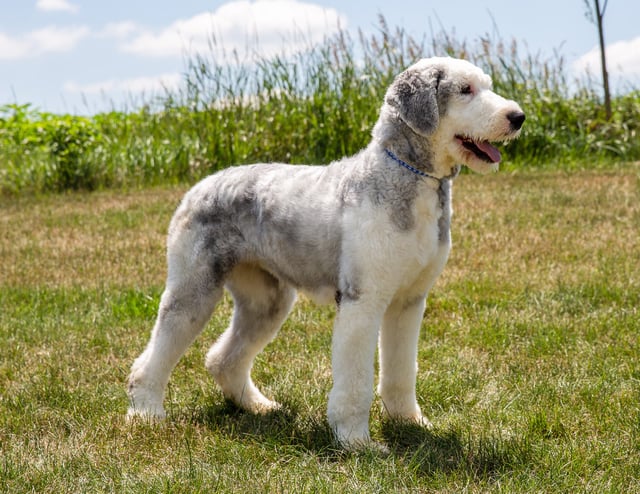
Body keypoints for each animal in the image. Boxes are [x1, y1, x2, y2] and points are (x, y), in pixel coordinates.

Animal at [126, 56, 524, 450]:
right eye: (465, 89)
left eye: (486, 85)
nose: (518, 116)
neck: (407, 176)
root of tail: (199, 186)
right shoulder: (362, 300)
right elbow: (356, 379)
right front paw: (356, 441)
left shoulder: (408, 301)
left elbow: (401, 371)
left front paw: (409, 422)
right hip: (194, 286)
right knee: (153, 358)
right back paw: (147, 413)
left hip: (266, 300)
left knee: (222, 359)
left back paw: (258, 407)